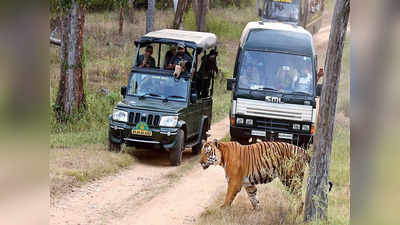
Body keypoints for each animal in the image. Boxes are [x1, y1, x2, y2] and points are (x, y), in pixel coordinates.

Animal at [198, 140, 332, 210]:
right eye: (201, 151)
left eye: (208, 152)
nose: (200, 162)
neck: (223, 156)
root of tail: (302, 150)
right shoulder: (248, 183)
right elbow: (253, 199)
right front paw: (257, 212)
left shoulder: (234, 182)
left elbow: (228, 198)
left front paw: (222, 209)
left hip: (290, 179)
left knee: (300, 199)